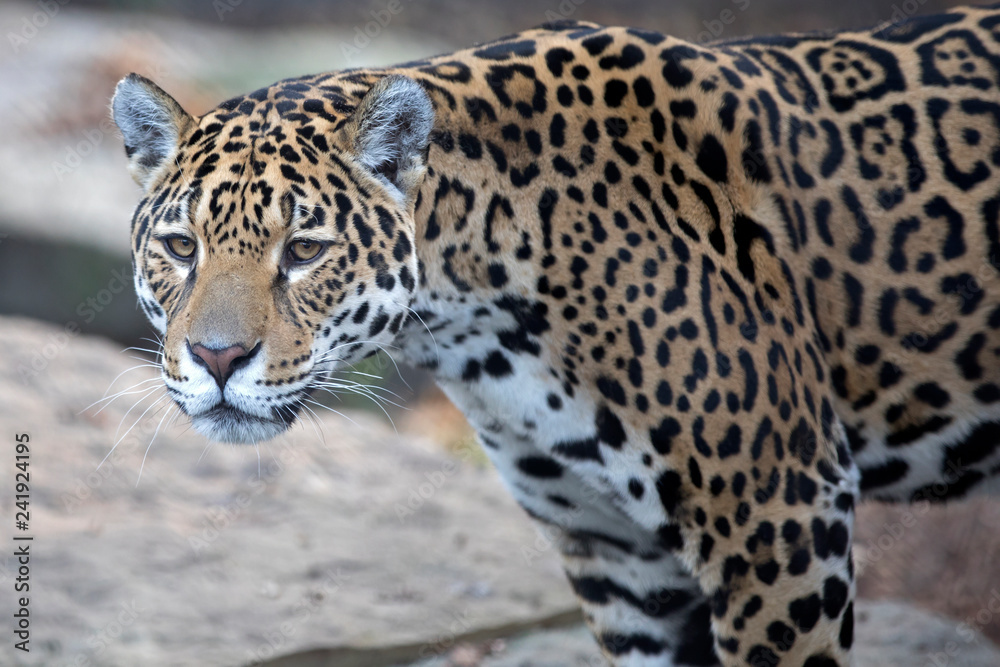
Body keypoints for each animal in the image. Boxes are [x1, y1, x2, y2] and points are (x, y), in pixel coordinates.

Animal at [111, 4, 1000, 665]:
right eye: (181, 246)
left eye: (303, 251)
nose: (217, 358)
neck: (475, 326)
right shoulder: (617, 556)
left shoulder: (779, 515)